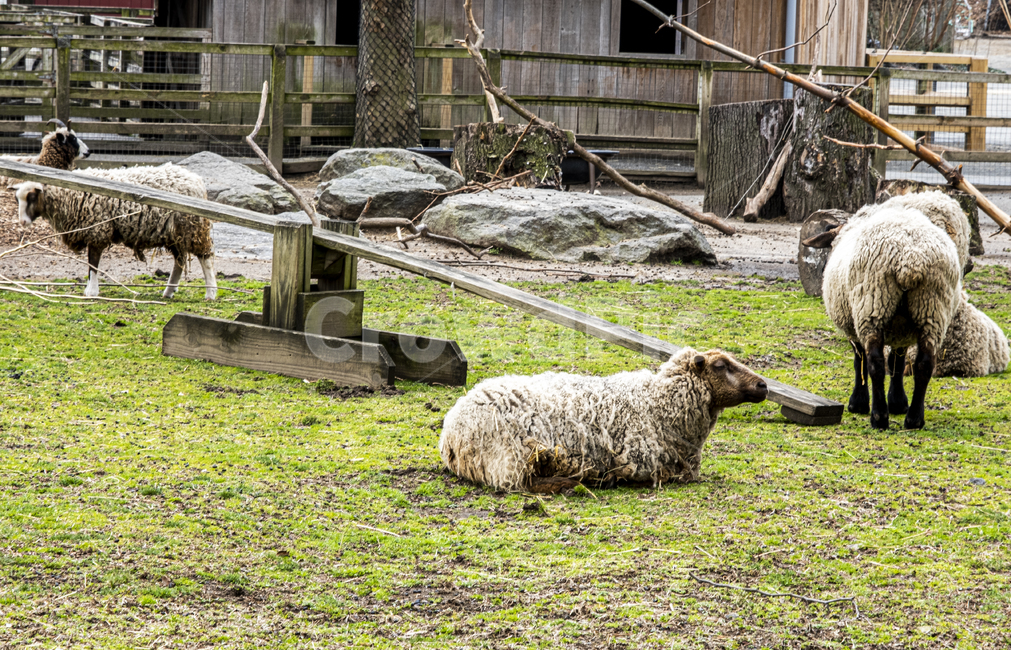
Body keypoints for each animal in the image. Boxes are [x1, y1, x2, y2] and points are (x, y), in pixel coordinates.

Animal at [14, 163, 216, 300]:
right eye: (18, 199)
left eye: (32, 197)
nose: (22, 222)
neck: (70, 195)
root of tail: (196, 180)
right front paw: (91, 289)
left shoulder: (97, 231)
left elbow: (93, 264)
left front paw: (91, 291)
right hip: (174, 234)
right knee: (180, 261)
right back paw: (168, 291)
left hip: (193, 227)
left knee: (205, 258)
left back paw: (211, 292)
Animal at [438, 347, 769, 493]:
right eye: (721, 365)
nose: (763, 385)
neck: (657, 404)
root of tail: (450, 431)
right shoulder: (643, 461)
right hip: (513, 455)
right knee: (521, 483)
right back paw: (576, 481)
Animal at [802, 193, 969, 430]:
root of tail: (911, 261)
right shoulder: (903, 331)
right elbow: (897, 361)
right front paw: (898, 403)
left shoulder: (853, 326)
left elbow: (860, 361)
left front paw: (858, 403)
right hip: (932, 310)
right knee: (925, 364)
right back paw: (914, 419)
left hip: (872, 306)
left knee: (875, 363)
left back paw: (879, 417)